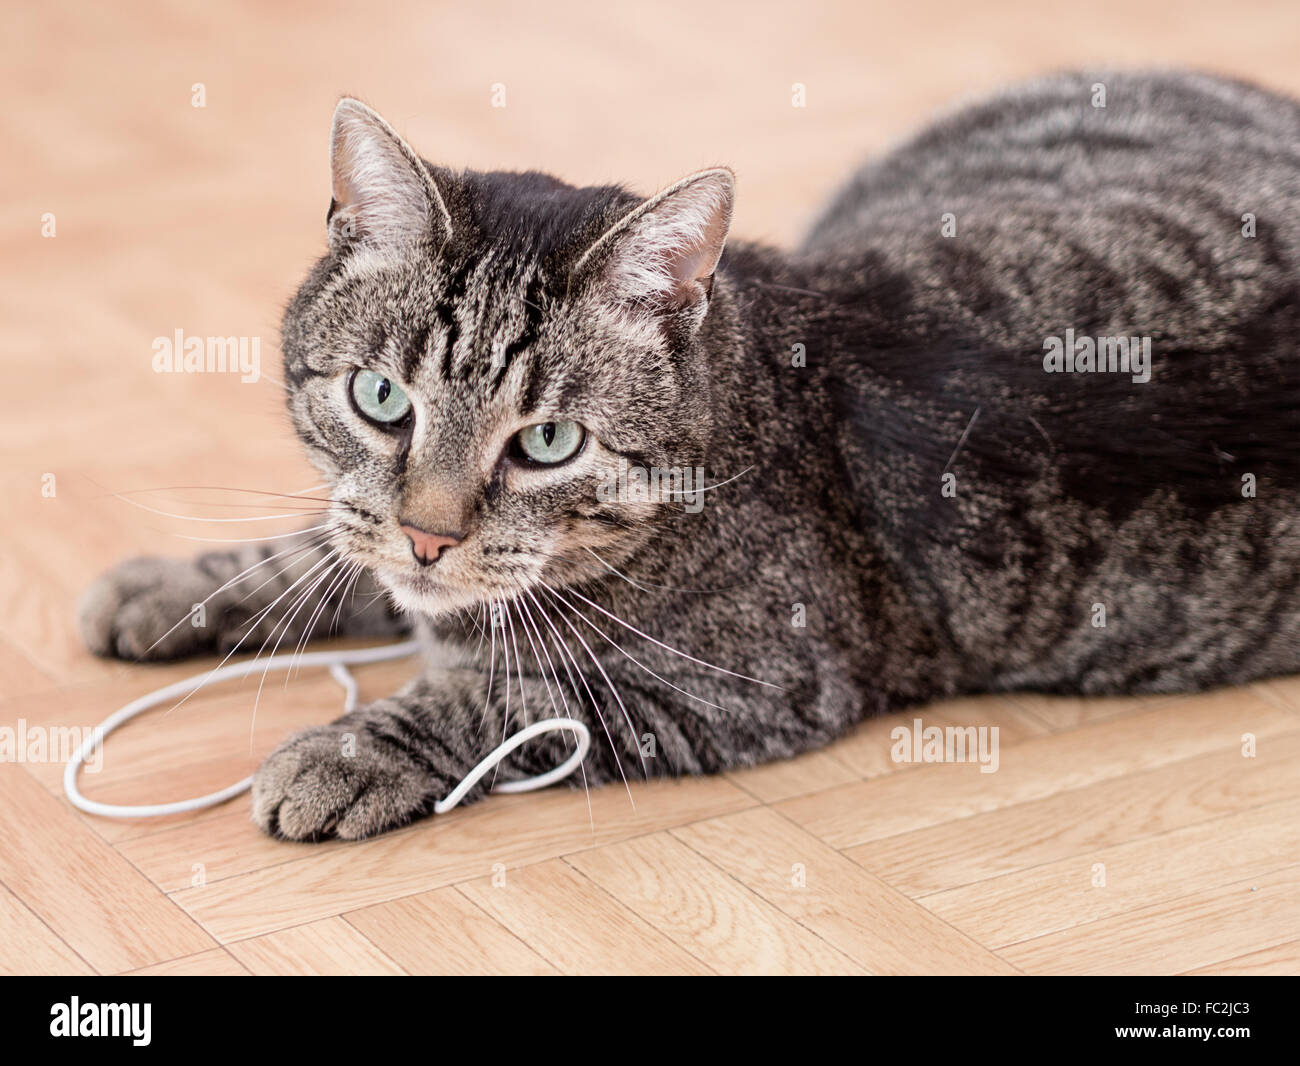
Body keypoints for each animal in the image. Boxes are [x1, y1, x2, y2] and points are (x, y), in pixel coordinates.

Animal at [78, 72, 1300, 842]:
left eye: (548, 442)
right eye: (380, 399)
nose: (430, 535)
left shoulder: (735, 689)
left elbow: (500, 703)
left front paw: (348, 750)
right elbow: (330, 547)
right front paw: (173, 587)